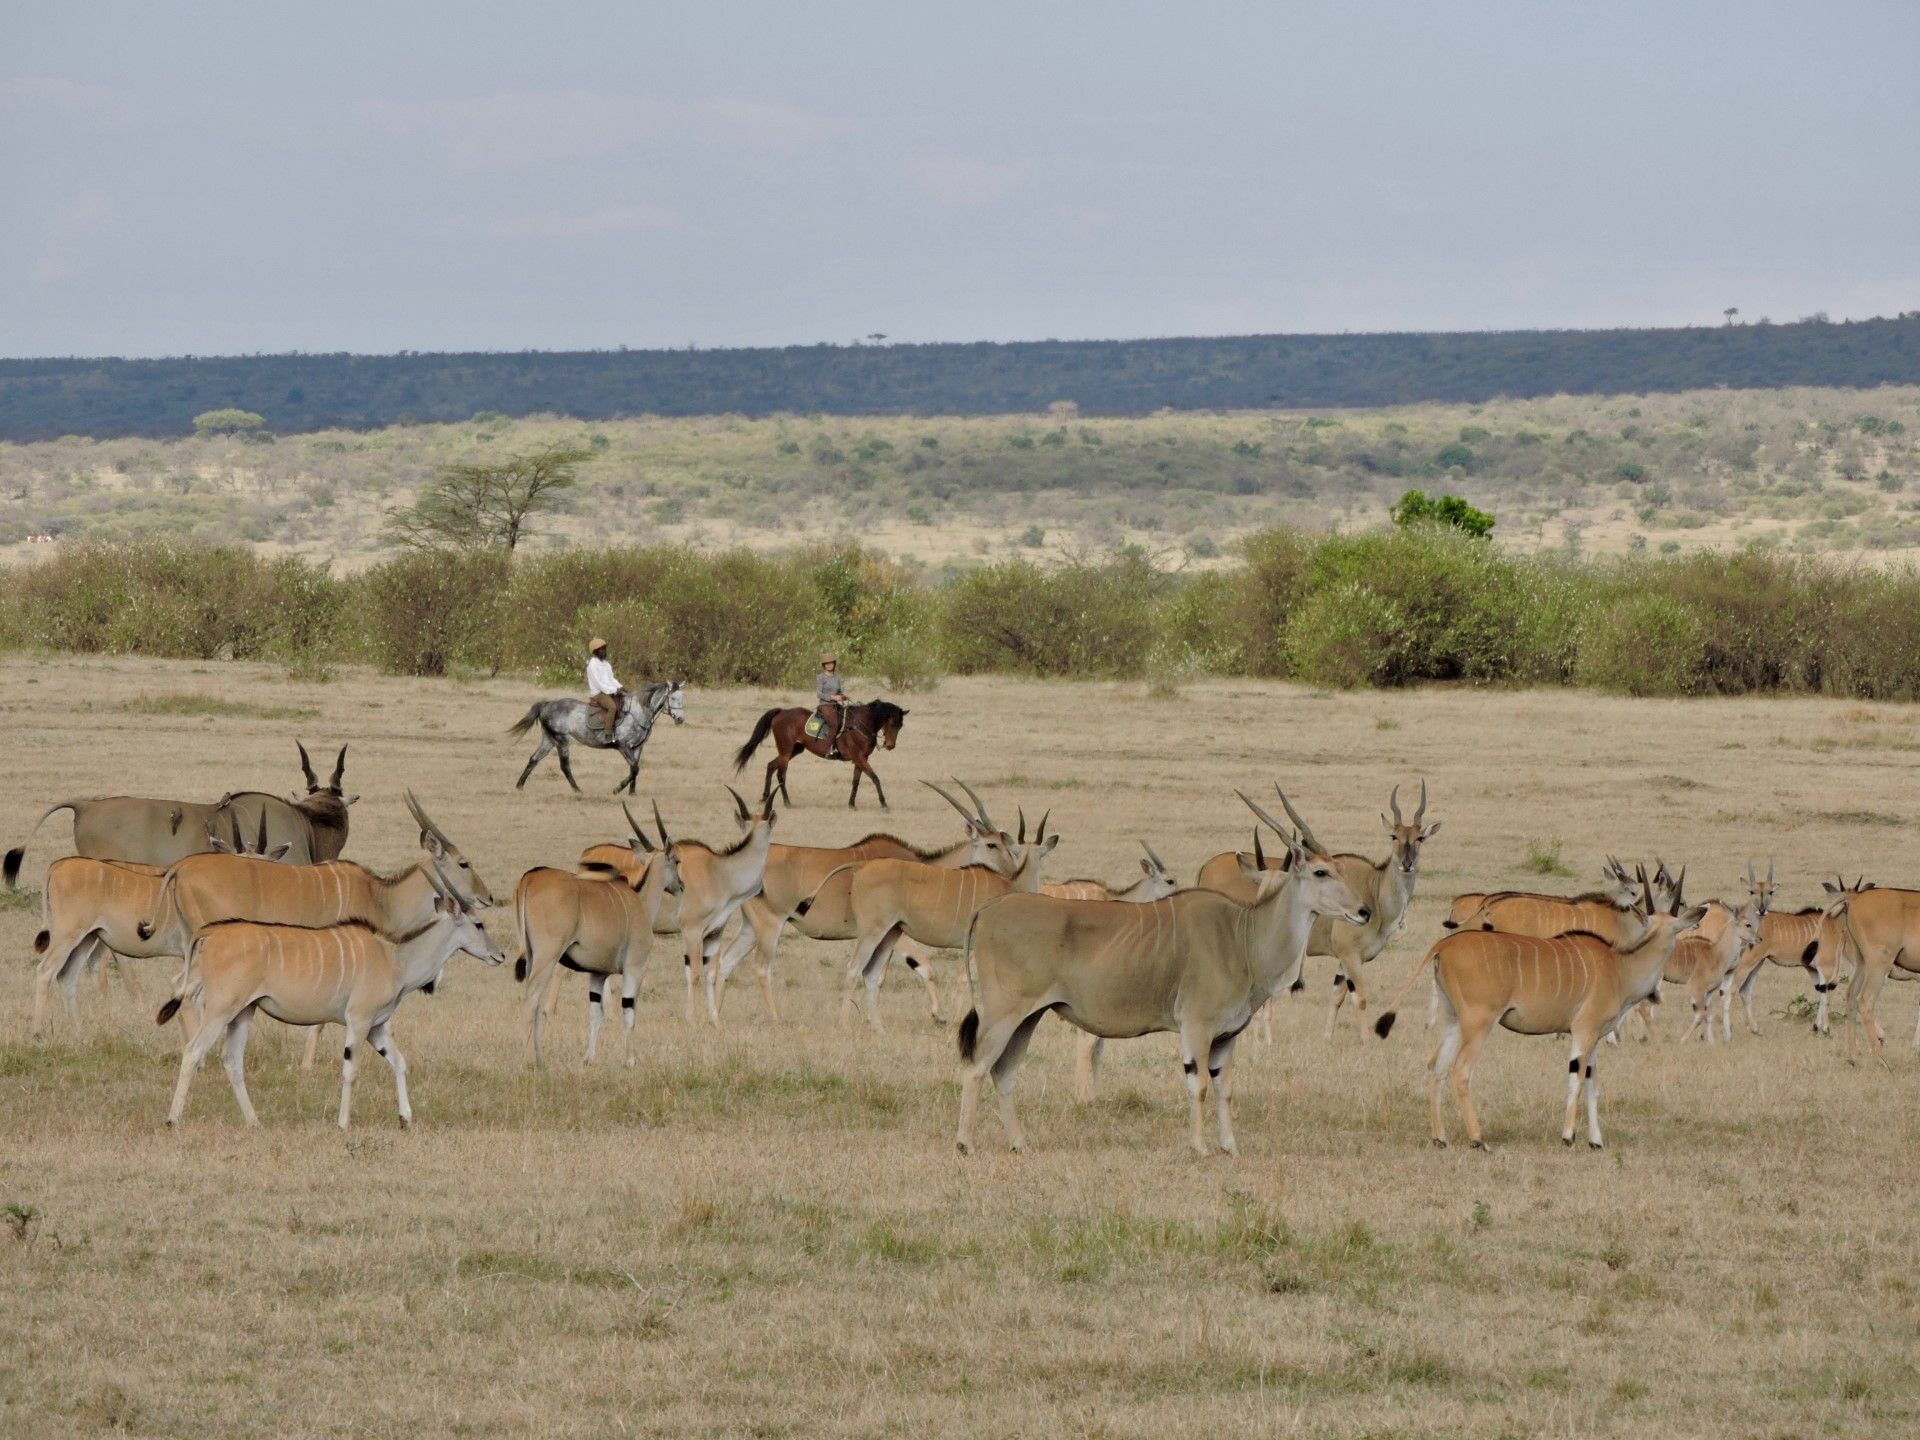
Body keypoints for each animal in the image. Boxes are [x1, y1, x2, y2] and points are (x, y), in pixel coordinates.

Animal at [509, 680, 685, 795]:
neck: (637, 713)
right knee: (564, 766)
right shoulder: (623, 746)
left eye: (683, 698)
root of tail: (547, 704)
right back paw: (577, 790)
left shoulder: (637, 747)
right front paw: (617, 789)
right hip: (561, 740)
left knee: (534, 759)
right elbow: (635, 768)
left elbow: (634, 769)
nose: (680, 719)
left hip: (549, 740)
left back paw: (519, 786)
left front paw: (632, 793)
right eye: (673, 698)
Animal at [733, 699, 908, 809]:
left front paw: (851, 804)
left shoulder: (860, 759)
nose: (890, 745)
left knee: (771, 766)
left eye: (900, 726)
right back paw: (787, 802)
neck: (861, 724)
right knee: (781, 775)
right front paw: (884, 803)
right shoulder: (859, 758)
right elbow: (875, 778)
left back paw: (765, 797)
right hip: (786, 750)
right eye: (892, 723)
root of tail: (781, 712)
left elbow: (855, 782)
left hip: (795, 750)